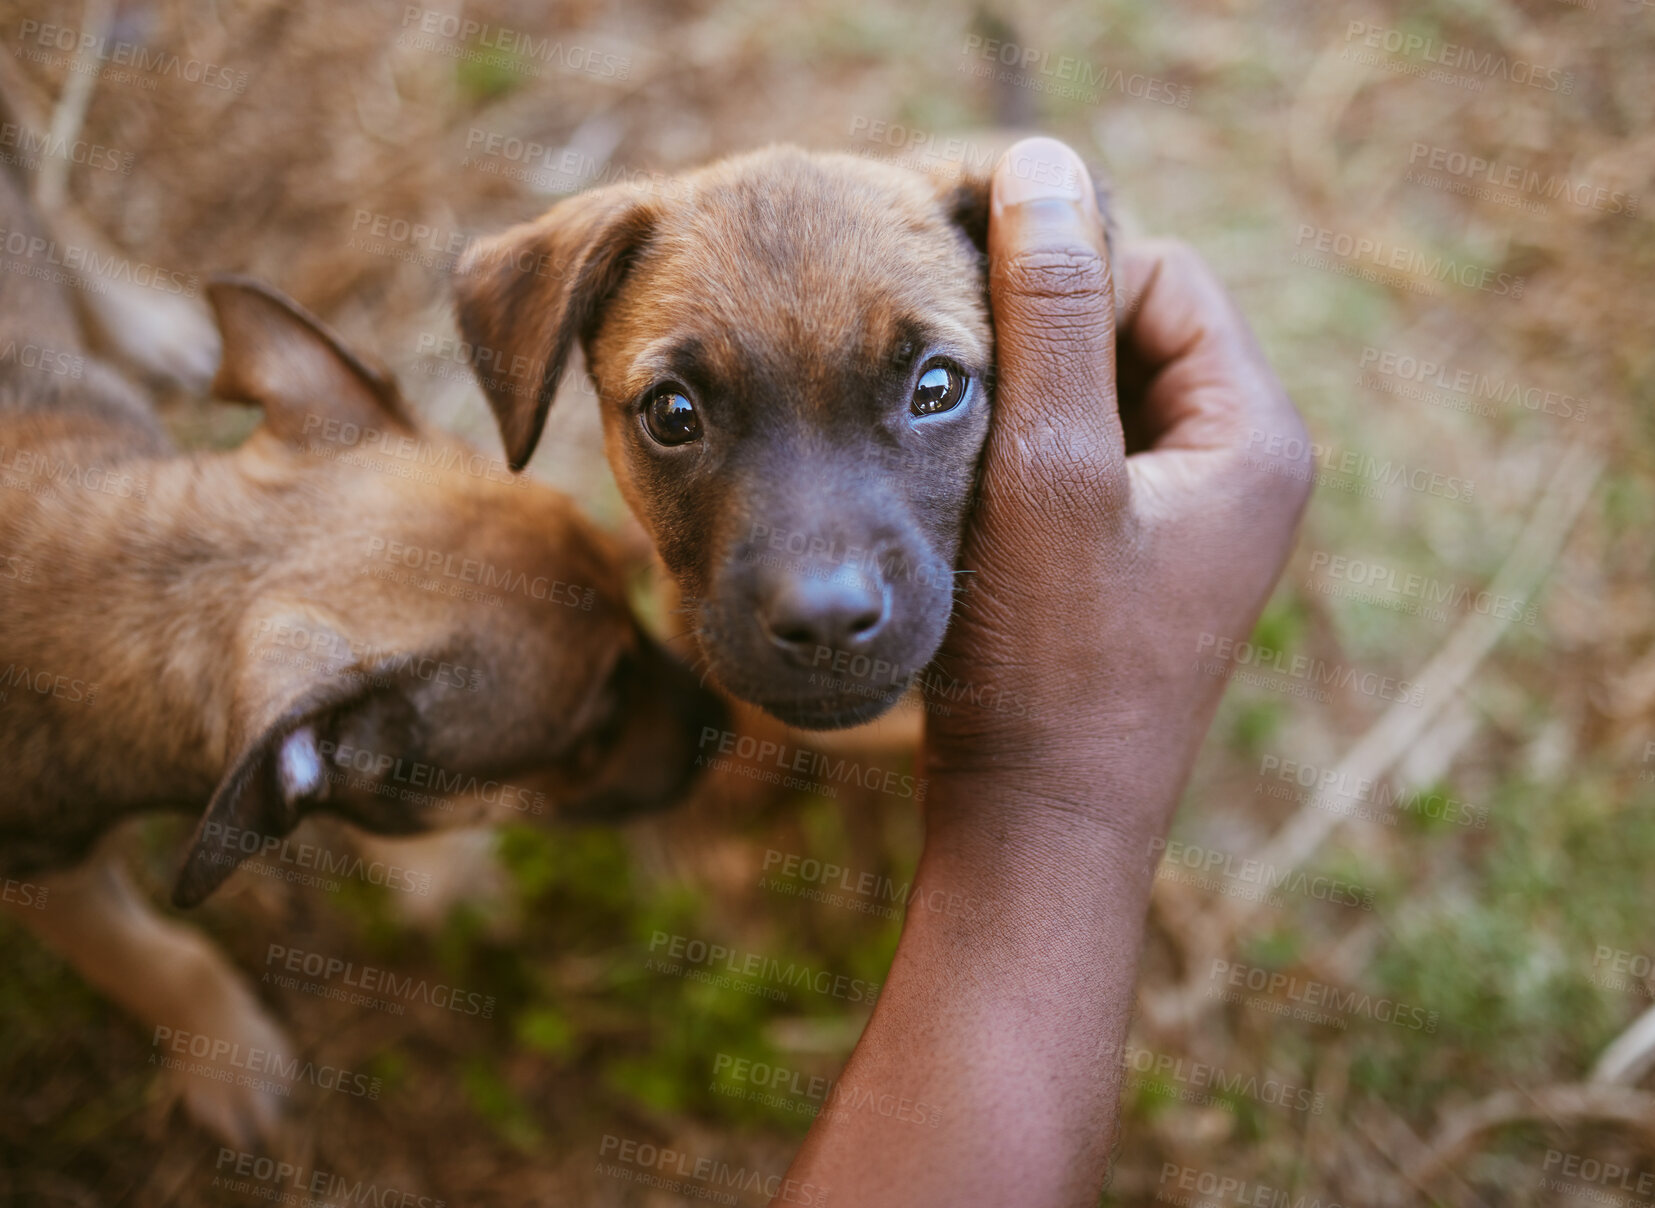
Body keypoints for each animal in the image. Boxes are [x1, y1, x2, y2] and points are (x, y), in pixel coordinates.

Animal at [0, 158, 724, 1138]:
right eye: (592, 731)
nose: (721, 722)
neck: (148, 577)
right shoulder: (46, 876)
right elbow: (150, 958)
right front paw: (227, 1054)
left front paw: (439, 874)